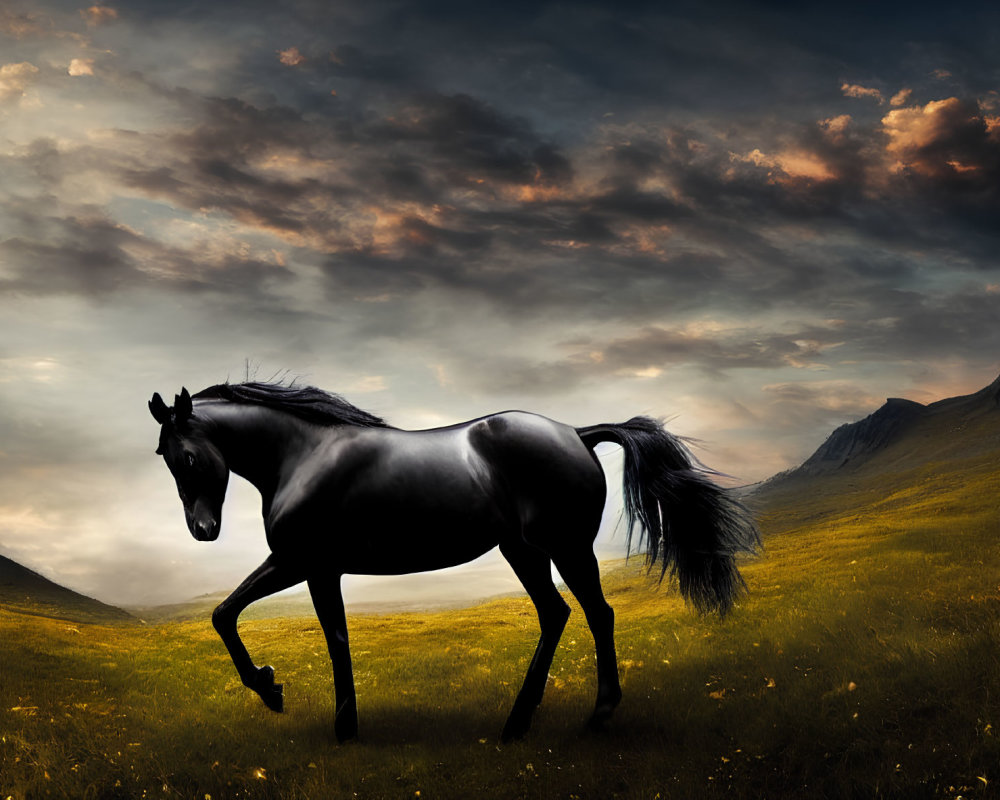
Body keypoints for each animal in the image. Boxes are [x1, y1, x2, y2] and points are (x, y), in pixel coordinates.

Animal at [148, 382, 756, 744]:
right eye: (163, 457)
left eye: (189, 456)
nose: (203, 531)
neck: (304, 456)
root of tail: (577, 434)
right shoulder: (313, 567)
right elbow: (239, 616)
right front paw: (298, 701)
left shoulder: (305, 564)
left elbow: (279, 627)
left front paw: (293, 701)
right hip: (524, 551)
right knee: (556, 615)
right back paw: (517, 722)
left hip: (565, 548)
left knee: (596, 615)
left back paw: (597, 716)